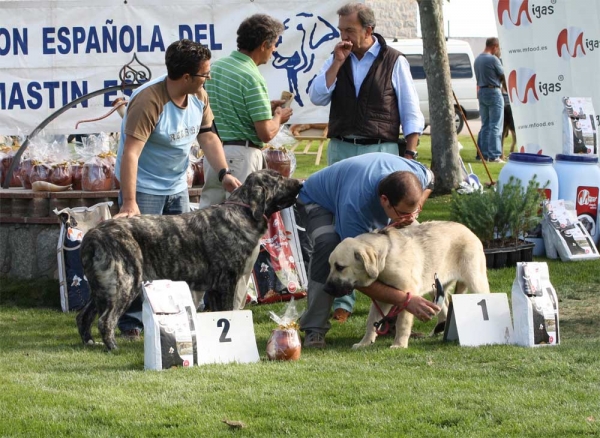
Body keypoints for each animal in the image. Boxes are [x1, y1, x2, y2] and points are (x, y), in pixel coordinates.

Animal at [76, 169, 300, 350]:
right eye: (278, 178)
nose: (300, 183)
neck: (241, 212)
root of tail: (92, 235)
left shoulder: (215, 287)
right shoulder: (227, 282)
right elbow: (227, 313)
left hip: (102, 288)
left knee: (83, 316)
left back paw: (89, 342)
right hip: (124, 283)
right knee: (105, 321)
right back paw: (113, 347)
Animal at [326, 222, 490, 350]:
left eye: (340, 267)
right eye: (330, 266)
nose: (325, 289)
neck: (386, 256)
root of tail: (469, 230)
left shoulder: (407, 295)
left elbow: (402, 323)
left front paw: (399, 344)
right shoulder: (382, 299)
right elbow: (371, 321)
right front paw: (365, 343)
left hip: (476, 281)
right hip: (436, 287)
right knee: (444, 307)